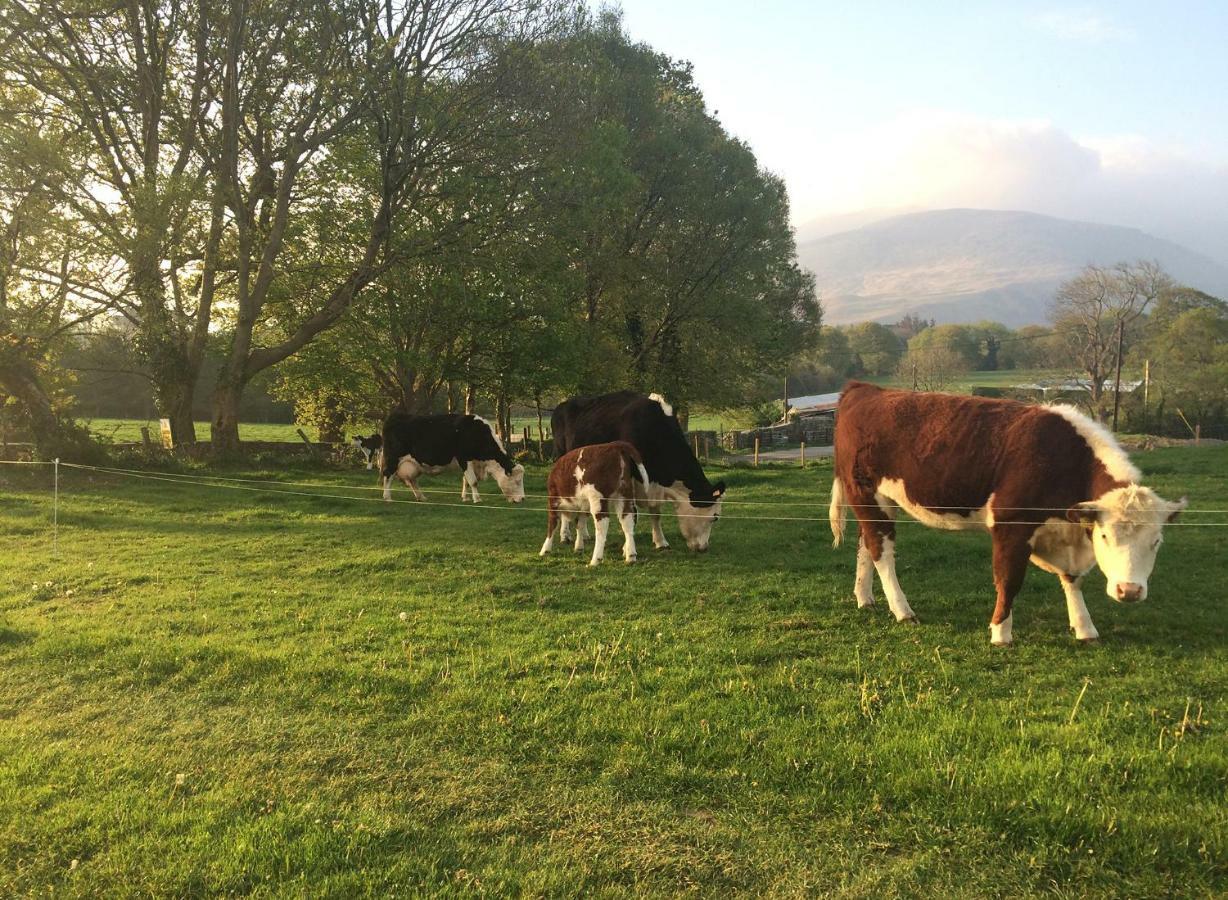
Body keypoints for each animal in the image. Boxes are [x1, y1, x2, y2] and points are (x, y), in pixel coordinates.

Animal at [378, 410, 523, 500]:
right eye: (517, 481)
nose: (522, 499)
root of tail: (394, 416)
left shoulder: (473, 462)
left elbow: (466, 480)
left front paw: (465, 497)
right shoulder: (464, 458)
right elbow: (473, 481)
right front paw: (477, 499)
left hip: (414, 464)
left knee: (412, 480)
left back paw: (421, 497)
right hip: (392, 458)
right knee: (388, 475)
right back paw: (387, 497)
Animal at [552, 390, 722, 550]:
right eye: (715, 517)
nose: (704, 548)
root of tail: (562, 404)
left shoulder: (654, 484)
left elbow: (656, 513)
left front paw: (660, 542)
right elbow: (631, 515)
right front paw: (628, 547)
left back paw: (585, 534)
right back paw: (565, 535)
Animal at [830, 383, 1183, 643]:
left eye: (1156, 542)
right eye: (1106, 535)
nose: (1129, 591)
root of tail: (864, 388)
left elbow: (1073, 579)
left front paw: (1085, 628)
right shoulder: (1010, 524)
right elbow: (1009, 580)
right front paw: (1000, 632)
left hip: (876, 503)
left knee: (866, 544)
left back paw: (865, 597)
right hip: (867, 495)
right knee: (882, 551)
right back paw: (903, 610)